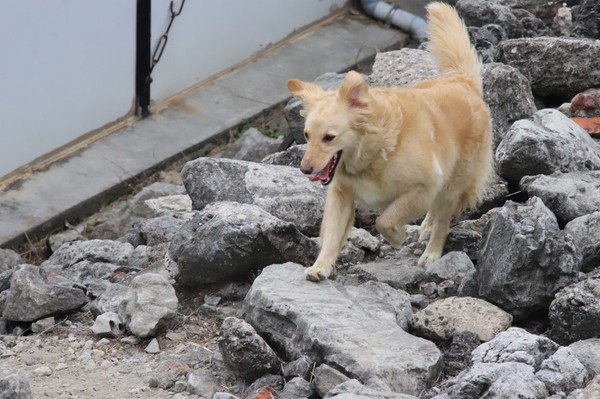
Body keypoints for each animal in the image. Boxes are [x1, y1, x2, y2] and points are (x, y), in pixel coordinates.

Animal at [290, 3, 492, 284]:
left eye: (329, 137)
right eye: (307, 135)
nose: (305, 169)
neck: (374, 150)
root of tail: (461, 81)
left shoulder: (425, 184)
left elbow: (384, 220)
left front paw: (396, 238)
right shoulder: (341, 195)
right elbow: (331, 235)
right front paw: (321, 266)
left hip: (454, 181)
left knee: (443, 218)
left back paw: (432, 251)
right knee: (436, 212)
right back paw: (426, 226)